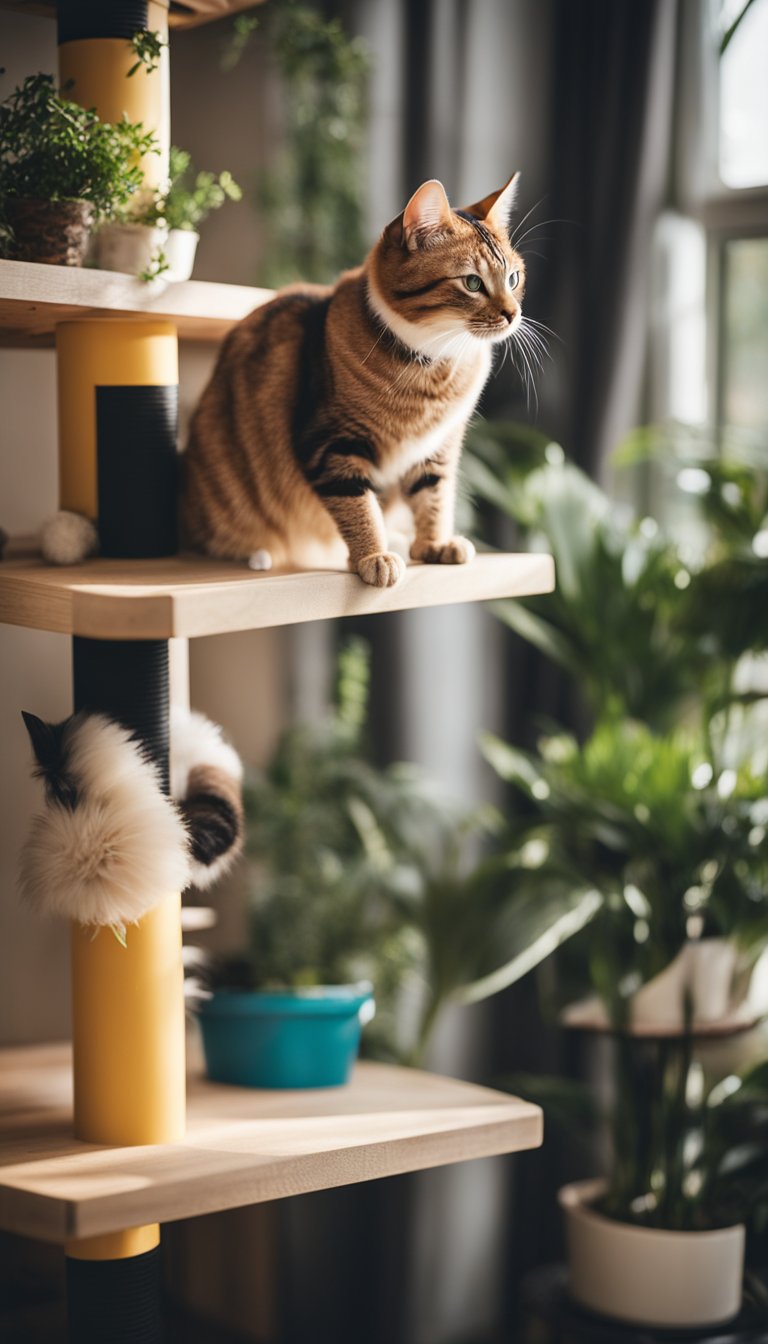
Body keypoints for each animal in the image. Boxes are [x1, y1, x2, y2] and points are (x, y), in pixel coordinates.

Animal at [181, 172, 529, 583]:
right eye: (473, 283)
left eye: (513, 278)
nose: (513, 314)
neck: (433, 367)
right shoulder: (331, 443)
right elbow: (358, 505)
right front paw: (373, 556)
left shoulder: (439, 445)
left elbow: (434, 495)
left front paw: (434, 544)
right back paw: (260, 554)